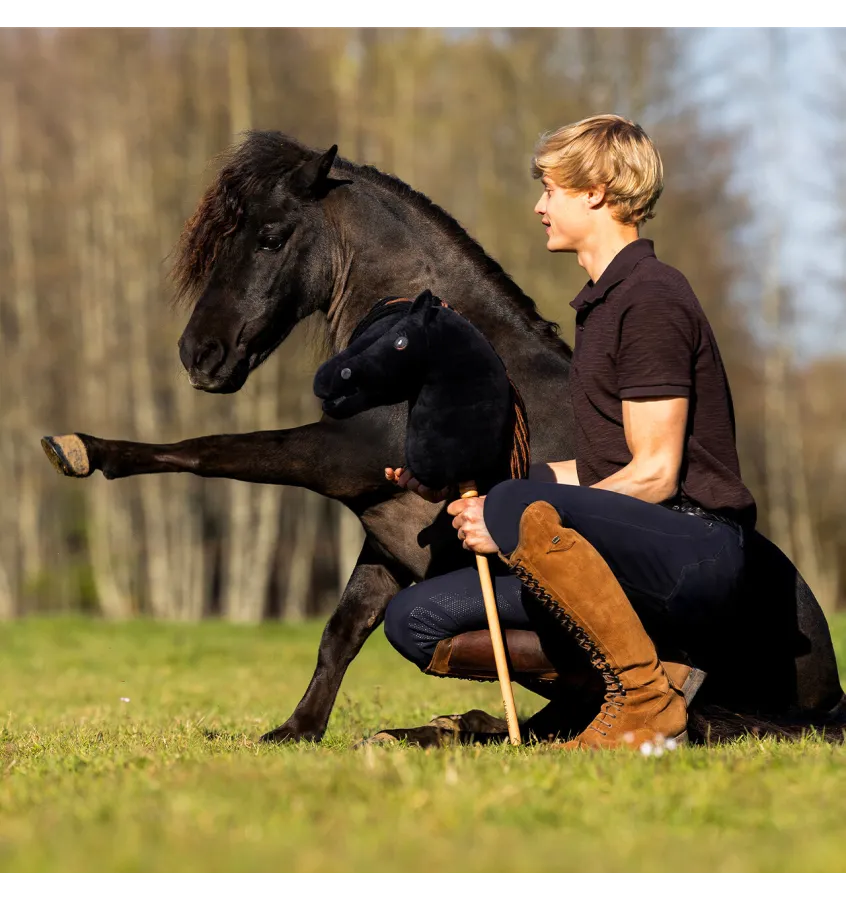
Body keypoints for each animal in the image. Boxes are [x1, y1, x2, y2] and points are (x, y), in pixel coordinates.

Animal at [41, 132, 845, 743]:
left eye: (270, 237)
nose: (197, 355)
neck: (434, 349)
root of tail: (830, 691)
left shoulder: (331, 458)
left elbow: (209, 452)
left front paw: (85, 450)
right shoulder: (386, 531)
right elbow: (343, 629)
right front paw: (297, 729)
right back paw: (452, 725)